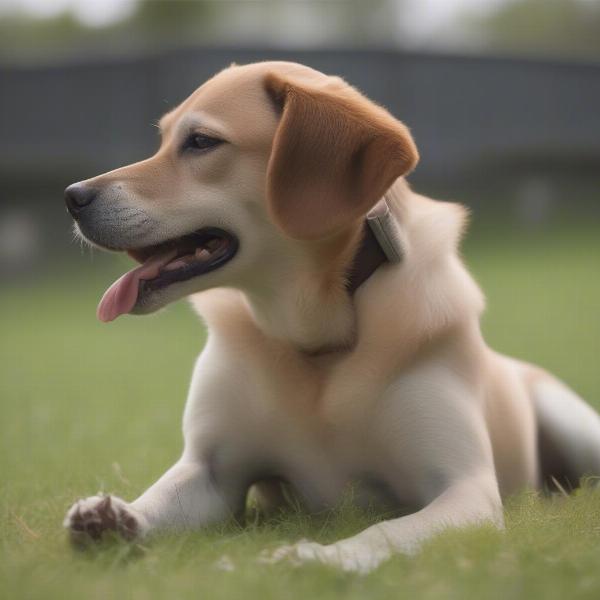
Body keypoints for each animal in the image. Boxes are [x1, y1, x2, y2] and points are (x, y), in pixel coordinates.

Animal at [62, 61, 600, 572]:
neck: (317, 339)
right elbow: (161, 498)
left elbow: (384, 531)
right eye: (164, 140)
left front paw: (316, 557)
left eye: (201, 142)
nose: (72, 197)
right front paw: (114, 517)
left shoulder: (466, 490)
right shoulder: (212, 472)